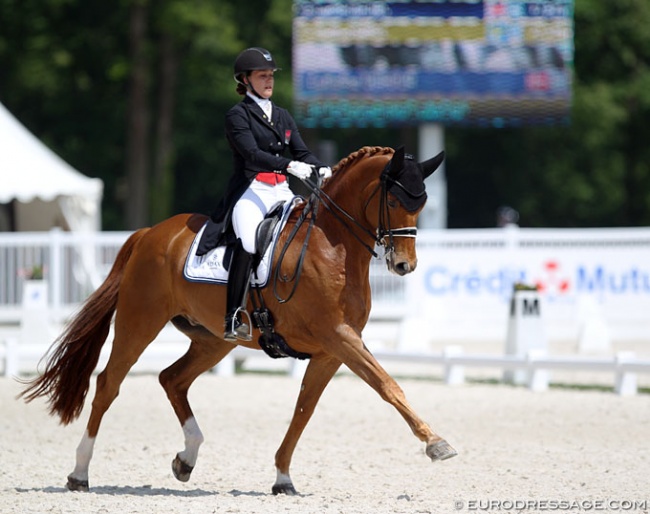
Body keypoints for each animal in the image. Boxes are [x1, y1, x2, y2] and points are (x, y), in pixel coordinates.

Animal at [21, 144, 456, 492]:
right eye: (395, 202)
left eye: (421, 204)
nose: (404, 266)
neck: (333, 245)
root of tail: (149, 233)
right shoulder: (338, 336)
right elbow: (388, 386)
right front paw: (436, 443)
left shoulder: (331, 350)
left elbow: (304, 410)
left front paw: (283, 478)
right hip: (138, 323)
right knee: (109, 385)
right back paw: (79, 473)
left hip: (213, 339)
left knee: (172, 379)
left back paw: (186, 459)